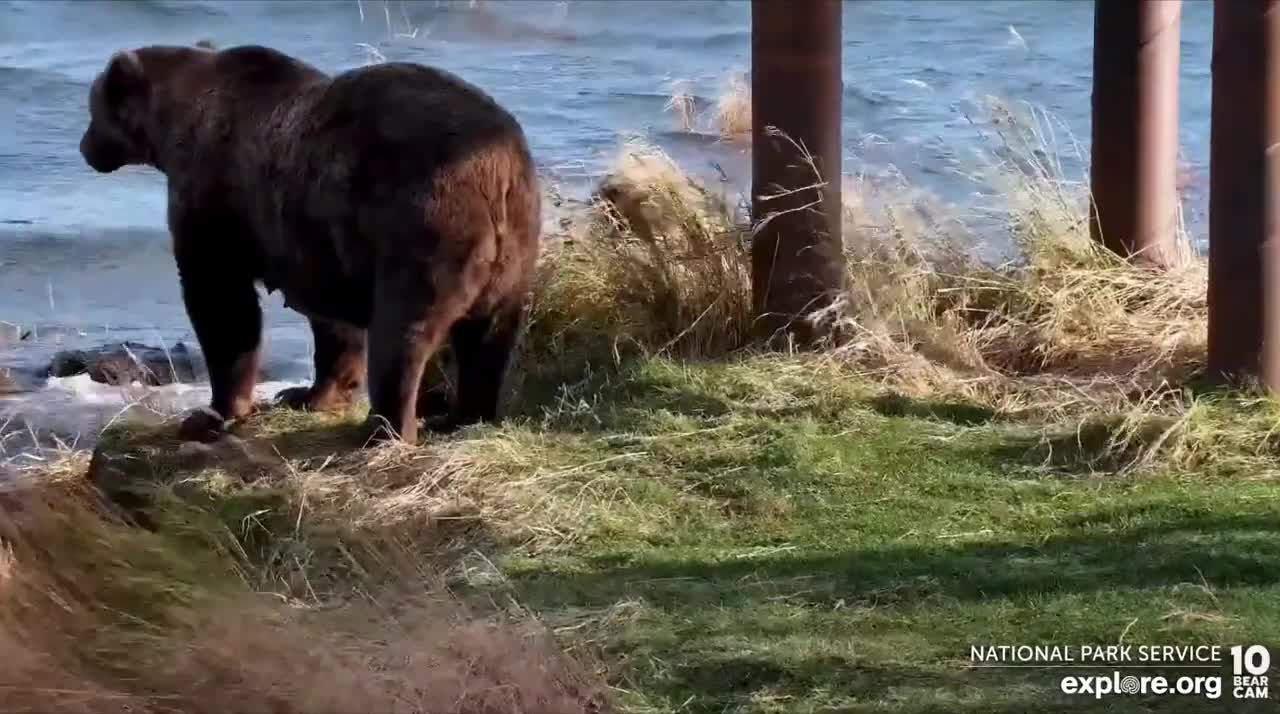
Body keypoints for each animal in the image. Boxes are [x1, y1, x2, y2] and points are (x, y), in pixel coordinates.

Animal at [78, 44, 540, 445]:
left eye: (93, 108)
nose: (85, 148)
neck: (178, 124)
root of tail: (496, 168)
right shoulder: (315, 237)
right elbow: (331, 319)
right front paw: (308, 393)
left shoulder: (216, 198)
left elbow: (222, 304)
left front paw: (213, 413)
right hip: (515, 245)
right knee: (491, 335)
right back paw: (465, 416)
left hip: (422, 222)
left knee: (403, 331)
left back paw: (385, 428)